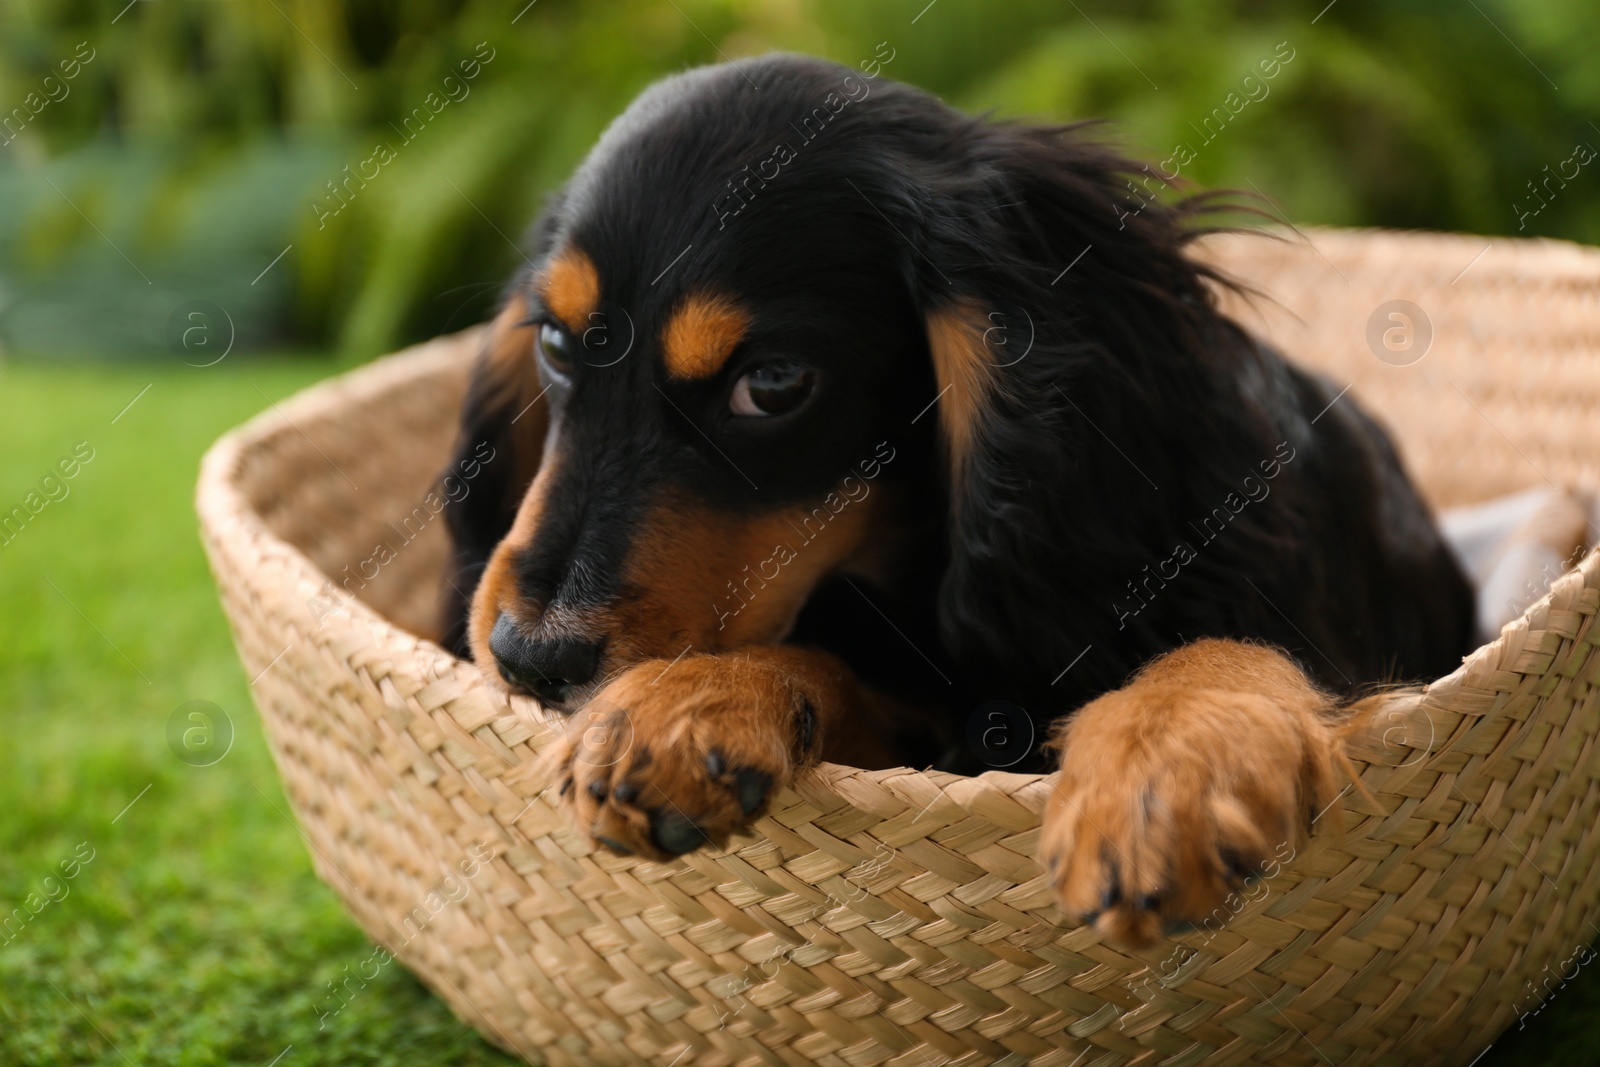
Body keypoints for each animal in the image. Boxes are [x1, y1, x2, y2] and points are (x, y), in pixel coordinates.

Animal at [438, 54, 1472, 947]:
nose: (529, 657)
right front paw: (685, 703)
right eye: (557, 344)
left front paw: (1164, 770)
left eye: (771, 384)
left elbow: (1233, 645)